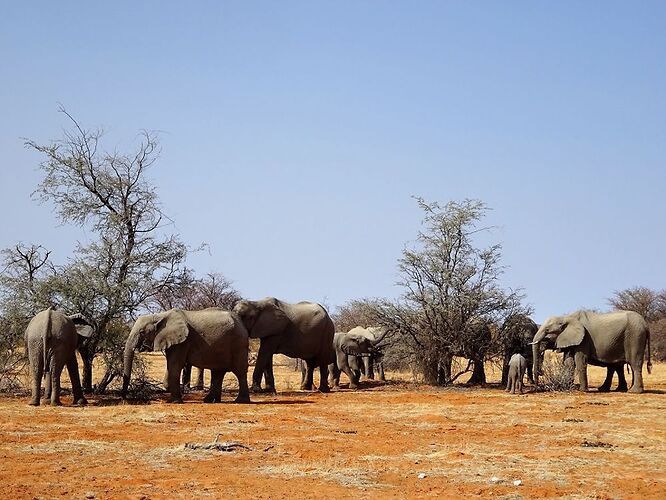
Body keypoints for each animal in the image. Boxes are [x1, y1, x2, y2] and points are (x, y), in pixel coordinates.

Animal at [121, 306, 249, 404]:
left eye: (142, 332)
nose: (124, 398)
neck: (159, 316)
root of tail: (242, 324)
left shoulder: (182, 341)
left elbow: (175, 365)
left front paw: (174, 402)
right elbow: (171, 365)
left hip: (238, 344)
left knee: (240, 372)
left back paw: (240, 401)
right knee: (218, 372)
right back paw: (210, 401)